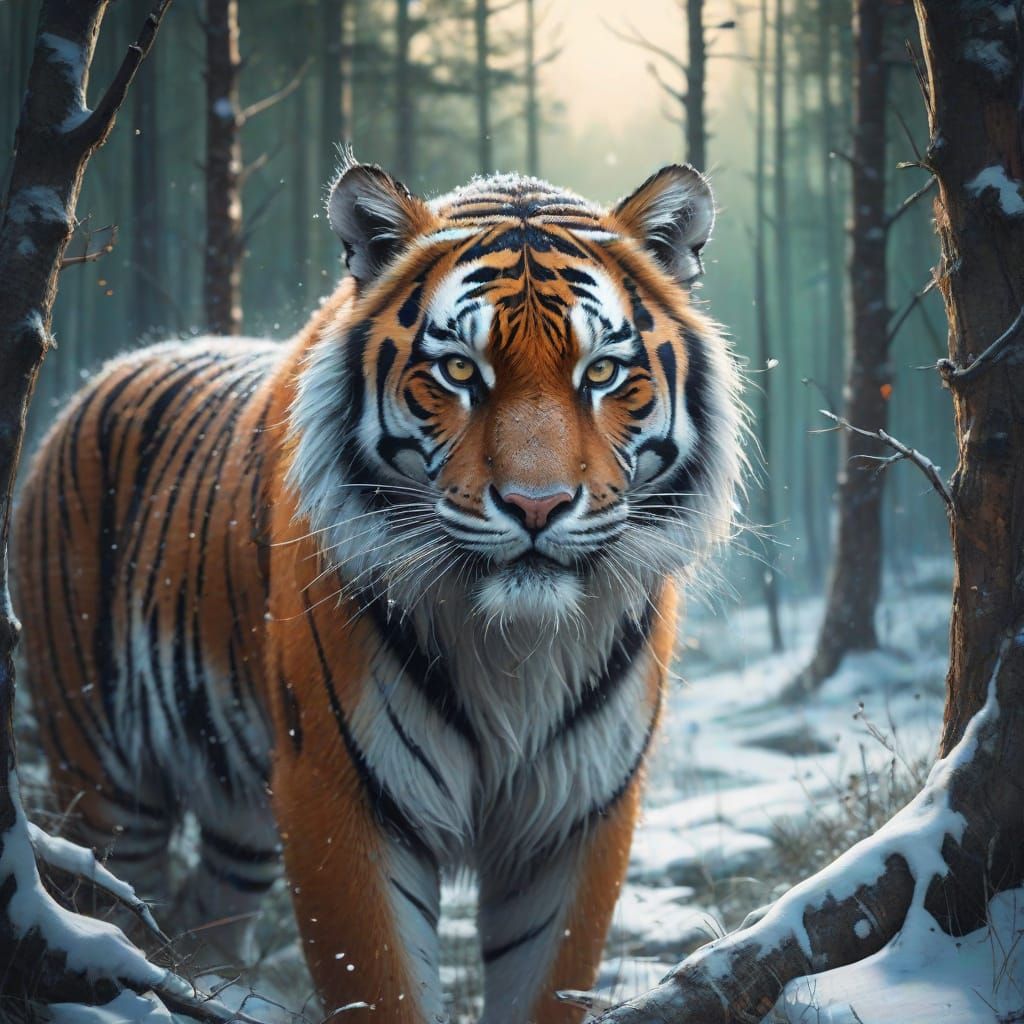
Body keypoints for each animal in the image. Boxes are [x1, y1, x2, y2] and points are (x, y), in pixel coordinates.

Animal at [13, 156, 743, 1023]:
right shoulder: (341, 796)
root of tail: (95, 381)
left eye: (601, 372)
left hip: (237, 818)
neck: (517, 649)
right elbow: (381, 983)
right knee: (114, 904)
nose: (536, 505)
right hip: (101, 776)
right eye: (459, 370)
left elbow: (548, 982)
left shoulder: (579, 816)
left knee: (197, 918)